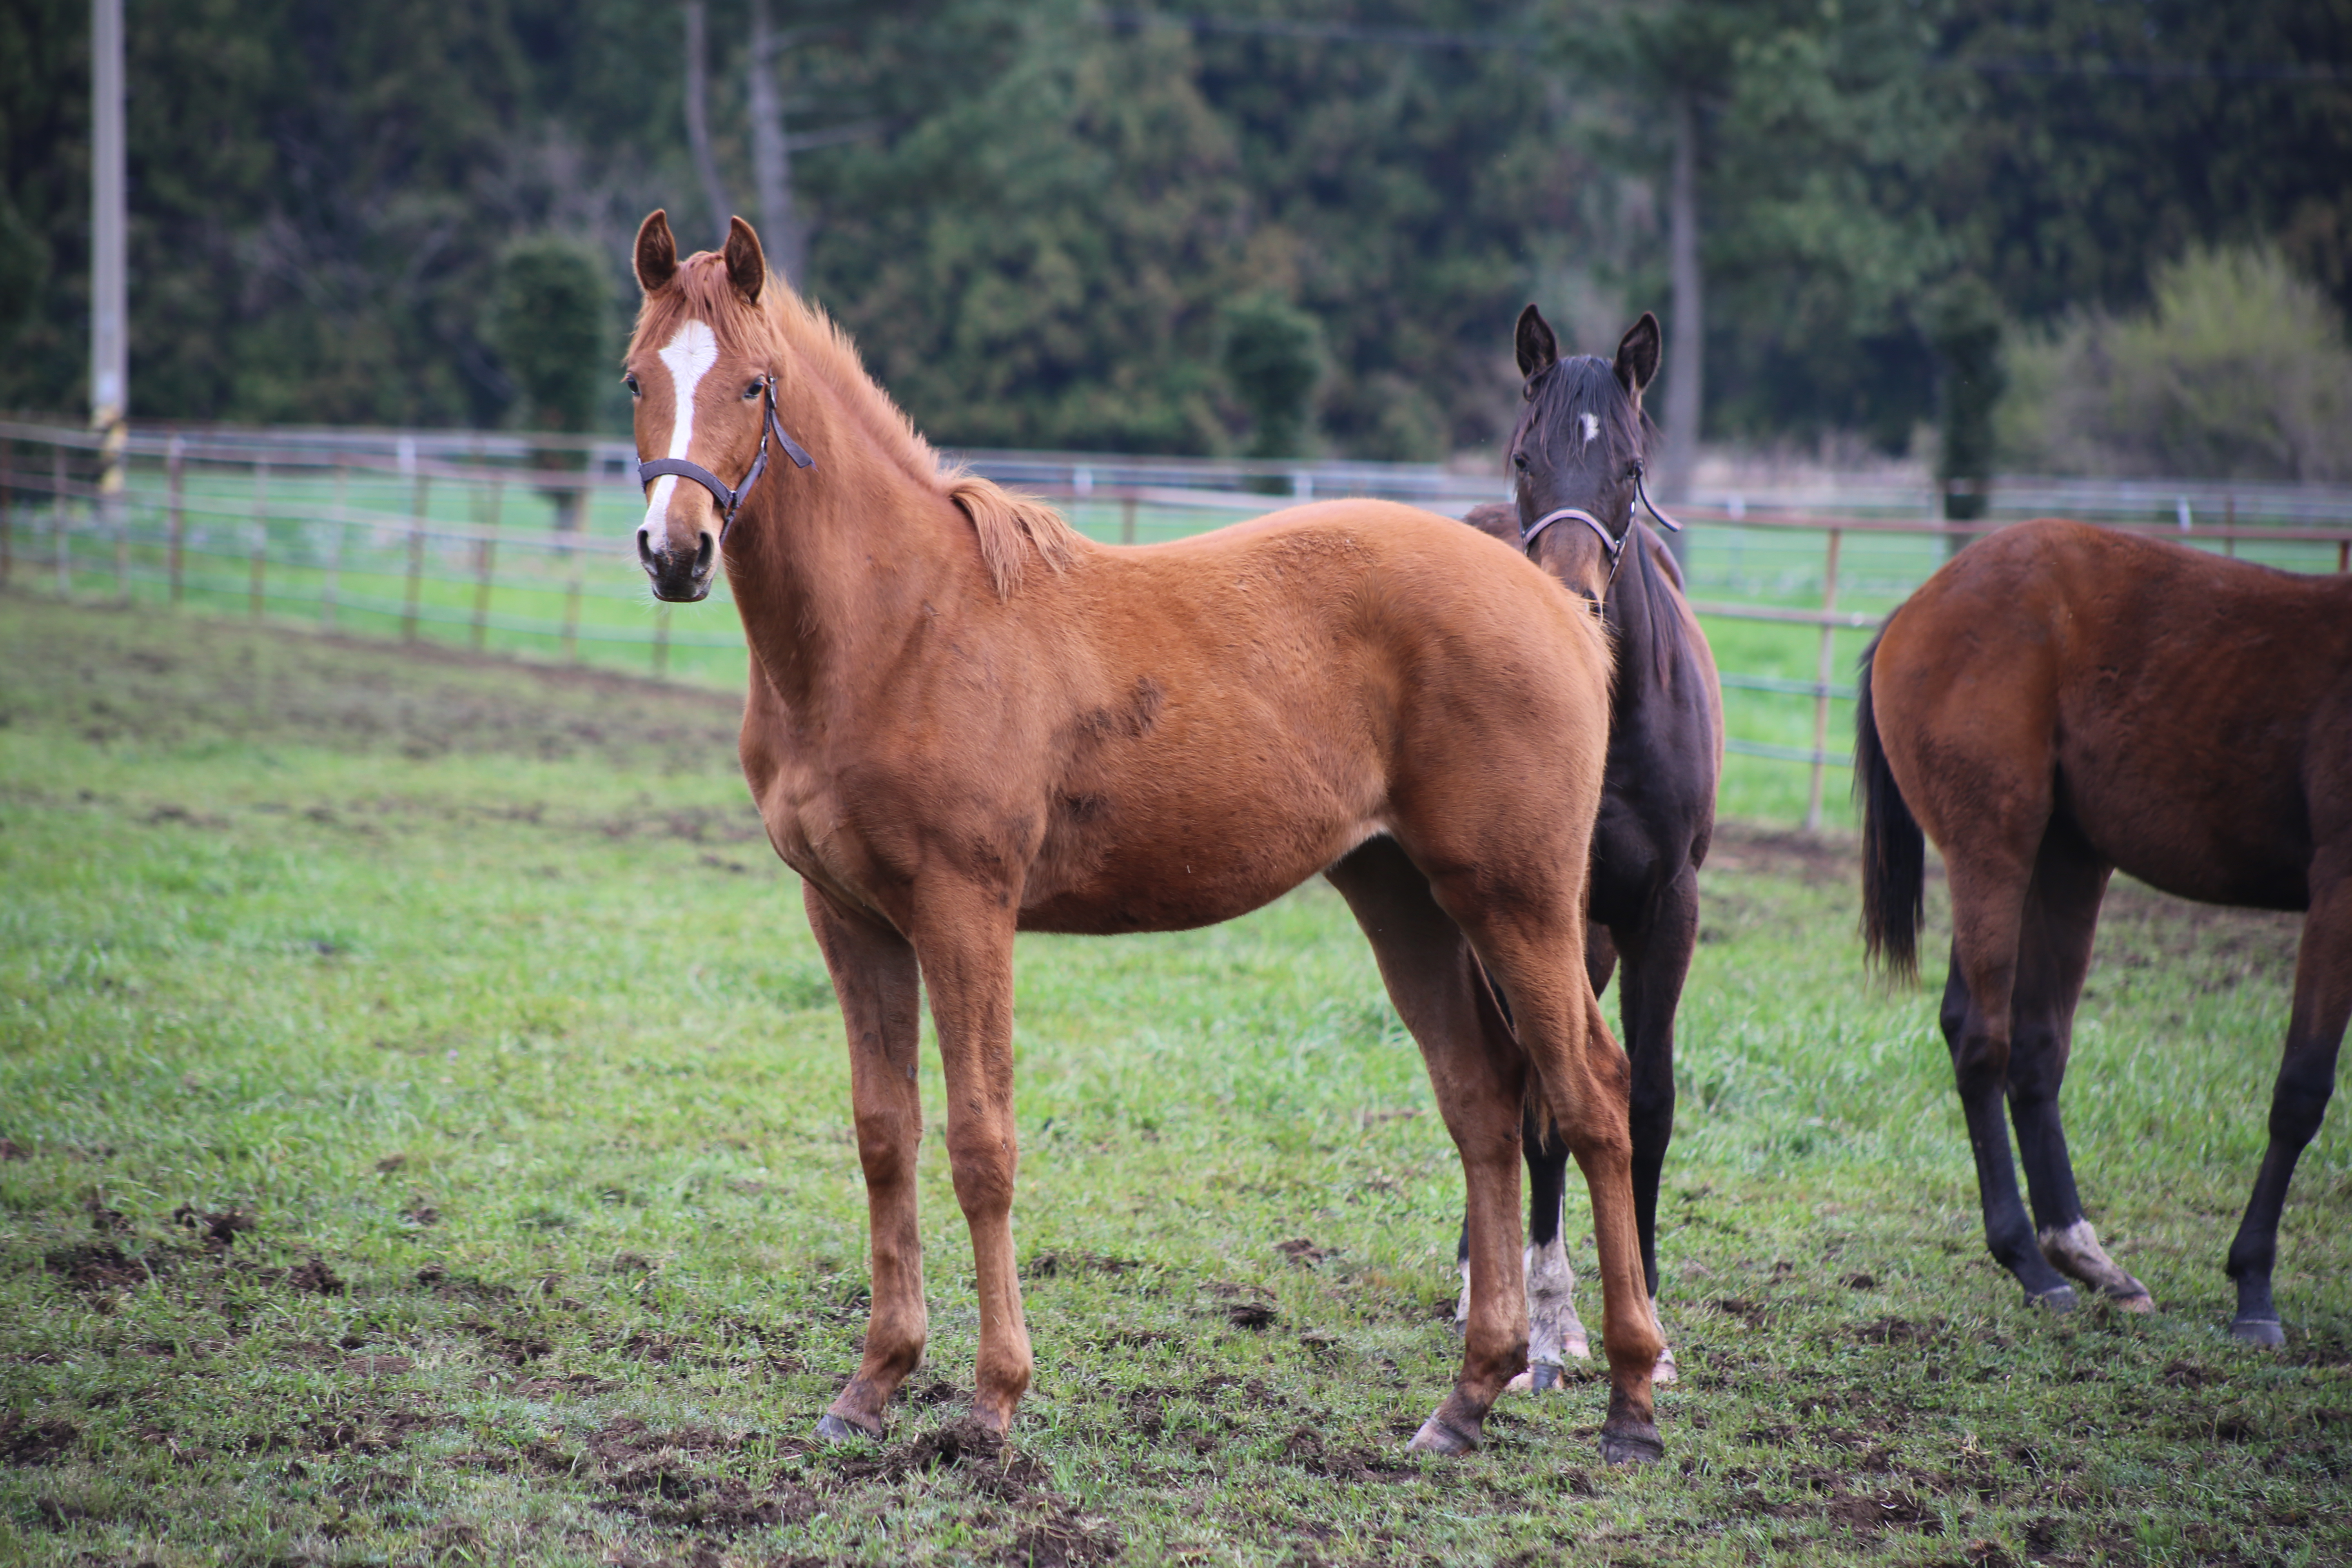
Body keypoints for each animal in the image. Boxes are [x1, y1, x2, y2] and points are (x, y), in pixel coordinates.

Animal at [616, 215, 1665, 1467]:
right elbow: (885, 1137)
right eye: (636, 379)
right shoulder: (850, 916)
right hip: (1402, 893)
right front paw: (869, 1386)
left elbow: (981, 1143)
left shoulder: (964, 911)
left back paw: (1630, 1399)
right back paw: (1465, 1399)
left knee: (1593, 1095)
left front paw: (993, 1399)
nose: (674, 552)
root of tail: (1559, 606)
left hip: (1517, 898)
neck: (897, 625)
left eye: (754, 384)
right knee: (1481, 1100)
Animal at [1449, 305, 1731, 1382]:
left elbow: (1644, 1101)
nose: (1570, 608)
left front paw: (1644, 1325)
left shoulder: (1665, 907)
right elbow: (1542, 1109)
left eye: (1631, 466)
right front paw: (1545, 1327)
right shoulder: (1540, 910)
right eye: (1524, 456)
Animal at [1862, 522, 2342, 1345]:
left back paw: (2086, 1260)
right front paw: (2254, 1290)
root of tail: (1921, 603)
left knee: (2029, 1044)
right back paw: (2032, 1264)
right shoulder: (2339, 883)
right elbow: (2301, 1090)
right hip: (1995, 847)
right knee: (1984, 1041)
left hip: (2064, 856)